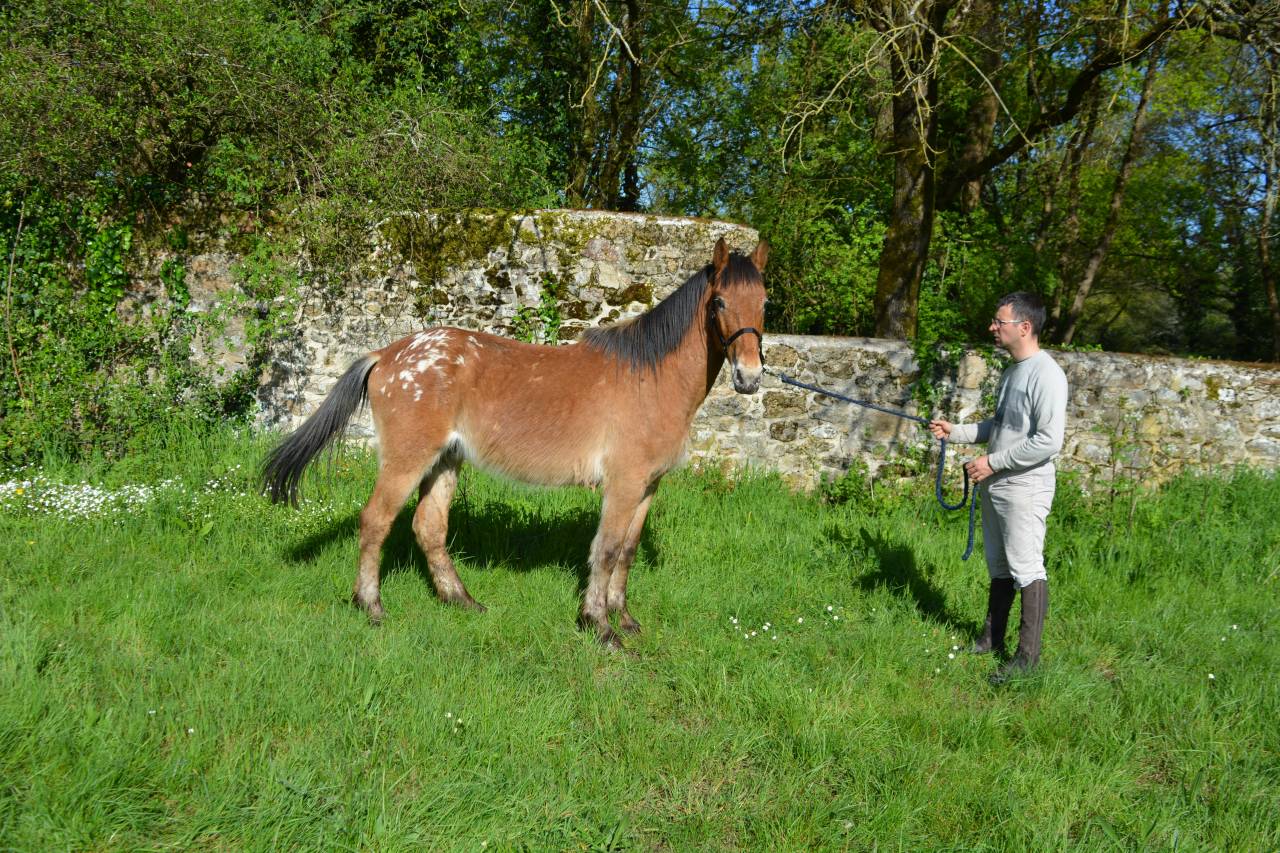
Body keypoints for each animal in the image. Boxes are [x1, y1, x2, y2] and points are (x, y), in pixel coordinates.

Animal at [262, 236, 768, 649]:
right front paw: (600, 628)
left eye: (765, 302)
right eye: (719, 302)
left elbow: (626, 551)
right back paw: (371, 607)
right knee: (375, 522)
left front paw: (624, 620)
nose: (749, 378)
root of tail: (386, 355)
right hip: (407, 460)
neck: (651, 378)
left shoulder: (648, 487)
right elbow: (605, 550)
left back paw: (462, 602)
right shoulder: (623, 485)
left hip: (445, 461)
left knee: (429, 528)